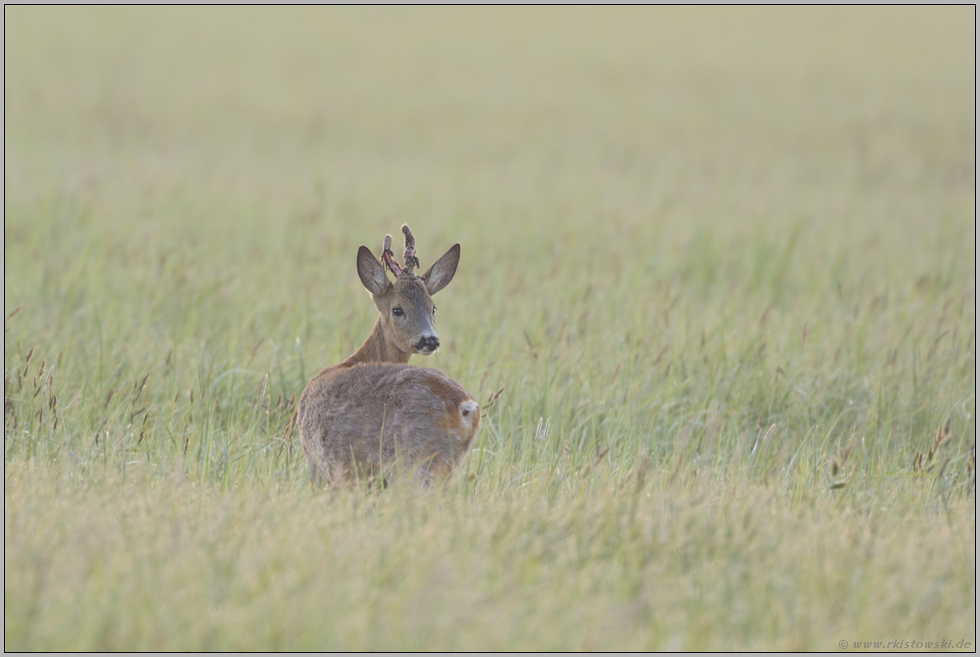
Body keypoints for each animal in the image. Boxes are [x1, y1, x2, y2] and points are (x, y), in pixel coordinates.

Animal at [298, 227, 482, 486]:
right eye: (397, 309)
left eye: (432, 308)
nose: (430, 340)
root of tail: (467, 408)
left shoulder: (319, 466)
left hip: (415, 463)